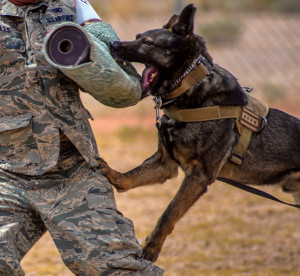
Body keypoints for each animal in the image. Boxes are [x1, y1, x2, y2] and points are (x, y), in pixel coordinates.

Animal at [100, 4, 300, 264]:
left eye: (148, 43)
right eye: (137, 37)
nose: (113, 44)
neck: (190, 88)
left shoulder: (198, 177)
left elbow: (168, 214)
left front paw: (152, 247)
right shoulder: (165, 164)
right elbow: (132, 176)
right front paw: (113, 174)